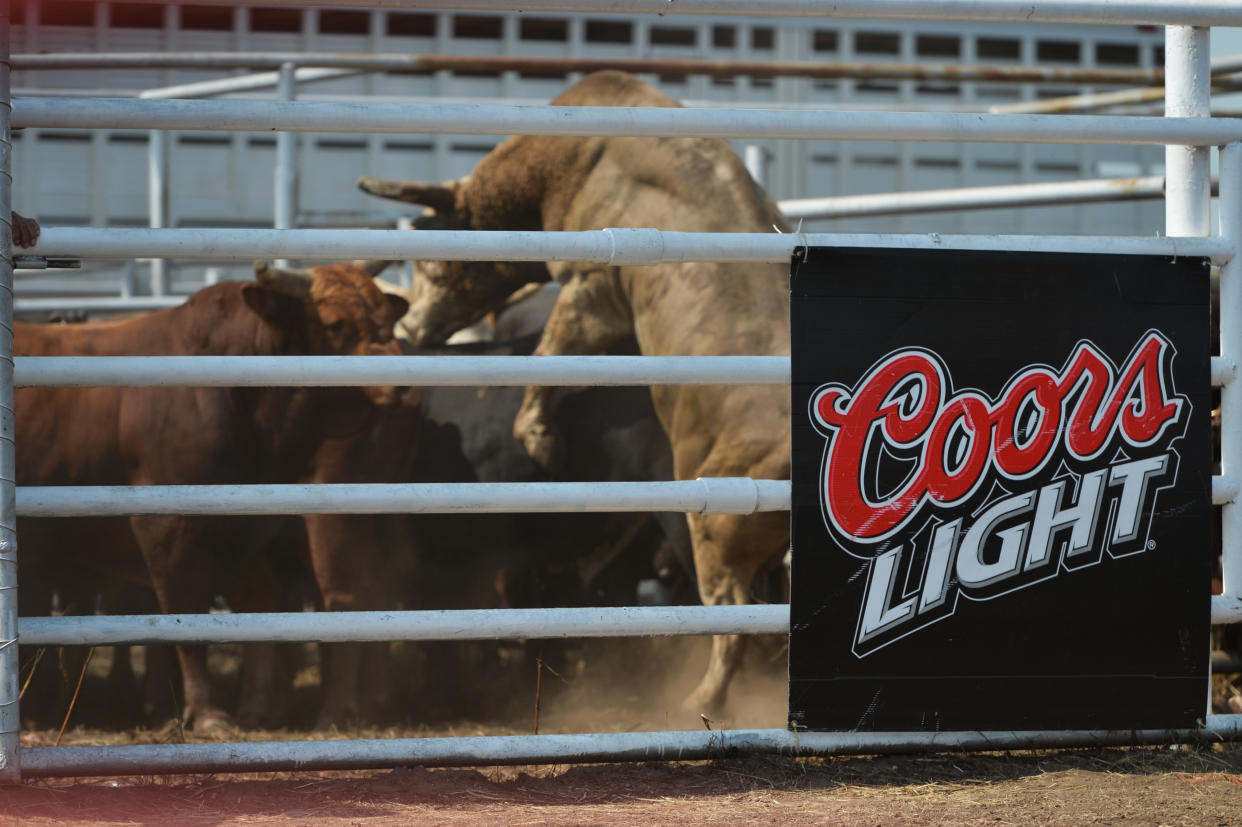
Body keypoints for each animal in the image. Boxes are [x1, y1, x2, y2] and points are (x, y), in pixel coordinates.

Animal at [15, 260, 412, 725]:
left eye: (386, 318)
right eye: (336, 325)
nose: (403, 382)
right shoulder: (168, 527)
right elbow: (186, 613)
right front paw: (208, 711)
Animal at [355, 69, 789, 710]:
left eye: (433, 259)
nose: (409, 328)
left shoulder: (592, 286)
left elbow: (551, 350)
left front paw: (538, 437)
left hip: (715, 526)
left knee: (734, 614)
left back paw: (701, 700)